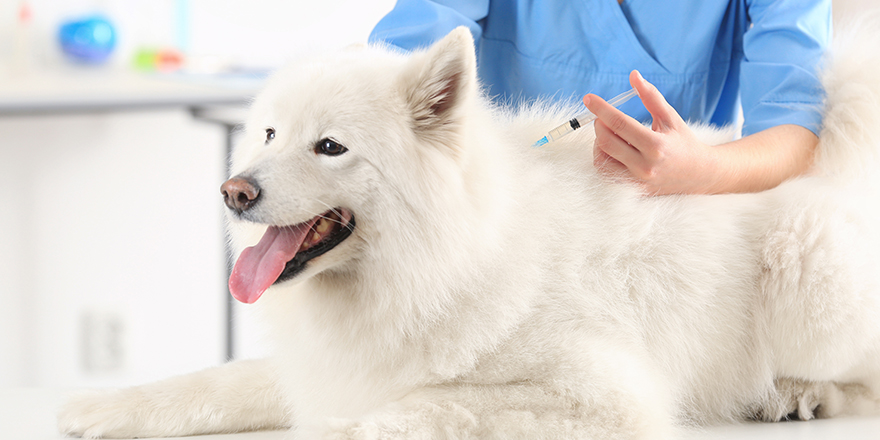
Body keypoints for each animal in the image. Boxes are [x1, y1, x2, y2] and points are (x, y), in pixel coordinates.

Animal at [58, 23, 880, 440]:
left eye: (330, 147)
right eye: (266, 134)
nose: (233, 194)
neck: (438, 261)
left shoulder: (602, 397)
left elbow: (425, 407)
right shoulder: (332, 363)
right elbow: (212, 381)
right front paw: (97, 408)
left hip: (806, 263)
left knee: (862, 384)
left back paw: (796, 394)